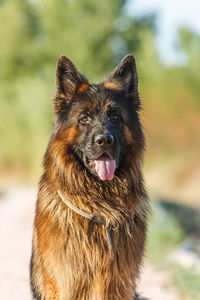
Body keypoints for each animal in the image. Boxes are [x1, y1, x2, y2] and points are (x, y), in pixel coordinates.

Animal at [30, 54, 149, 300]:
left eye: (115, 116)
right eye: (84, 118)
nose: (104, 140)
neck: (99, 206)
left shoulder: (119, 285)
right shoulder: (63, 283)